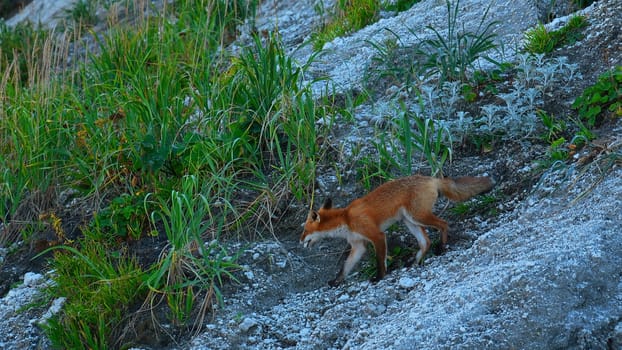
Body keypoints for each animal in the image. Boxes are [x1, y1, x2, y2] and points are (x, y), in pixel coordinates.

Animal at [302, 175, 498, 288]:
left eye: (304, 230)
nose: (299, 241)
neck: (346, 219)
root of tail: (431, 177)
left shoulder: (376, 235)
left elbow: (380, 260)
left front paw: (379, 277)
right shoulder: (358, 245)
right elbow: (345, 267)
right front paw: (336, 281)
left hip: (417, 216)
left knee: (444, 224)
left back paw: (441, 247)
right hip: (409, 221)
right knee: (425, 241)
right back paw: (416, 261)